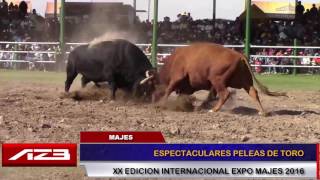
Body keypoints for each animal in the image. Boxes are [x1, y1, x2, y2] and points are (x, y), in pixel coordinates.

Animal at [151, 42, 286, 115]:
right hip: (244, 82)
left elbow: (169, 89)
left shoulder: (177, 77)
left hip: (218, 80)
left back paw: (214, 110)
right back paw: (263, 112)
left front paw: (160, 104)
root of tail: (239, 55)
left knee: (225, 94)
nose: (151, 99)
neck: (174, 60)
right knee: (254, 92)